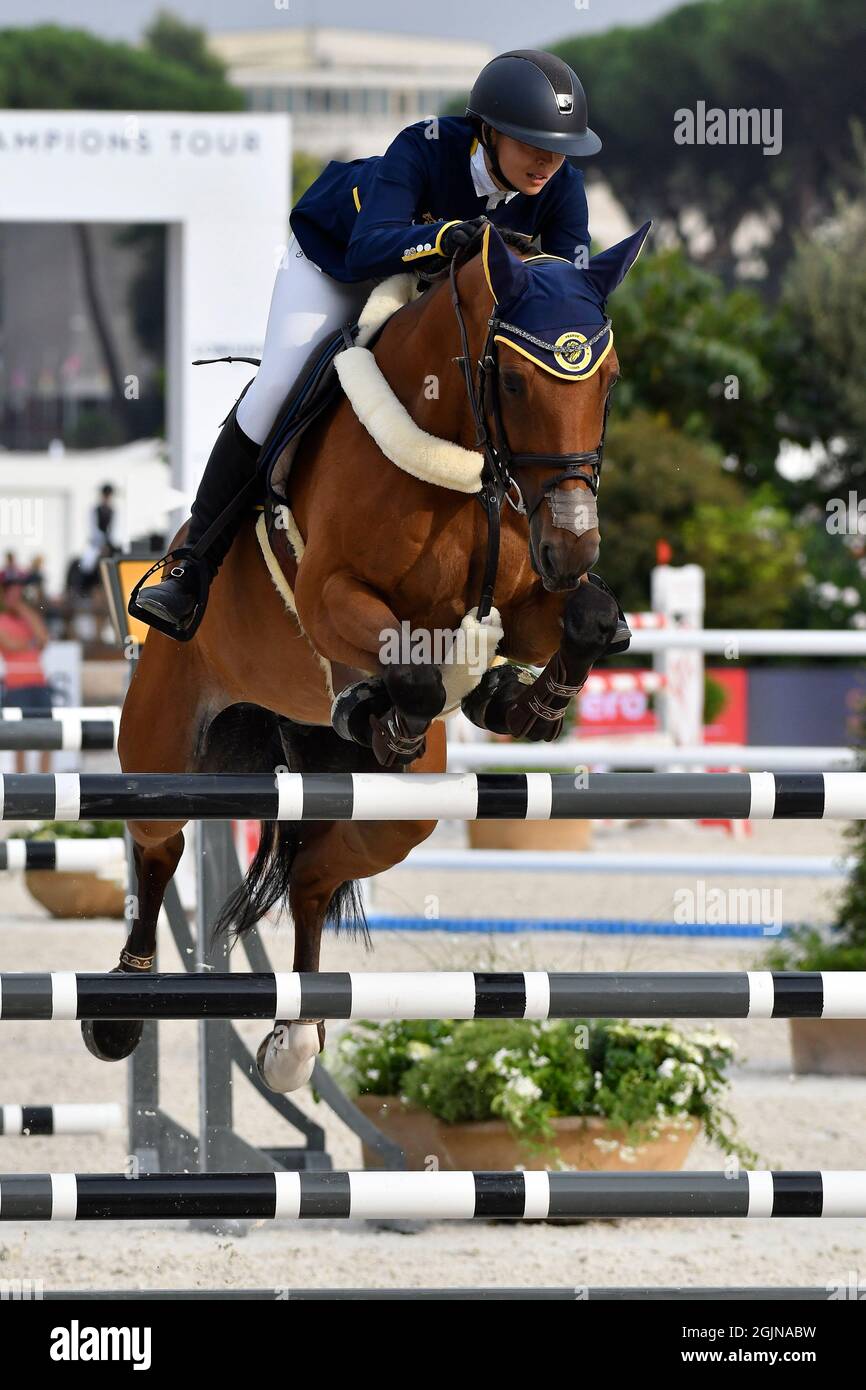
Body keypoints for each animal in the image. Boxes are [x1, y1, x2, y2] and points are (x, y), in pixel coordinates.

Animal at [89, 216, 650, 1089]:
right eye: (513, 384)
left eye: (612, 381)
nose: (571, 545)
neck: (458, 460)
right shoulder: (331, 597)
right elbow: (410, 668)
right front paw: (389, 710)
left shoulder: (528, 606)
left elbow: (587, 619)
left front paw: (528, 703)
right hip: (162, 743)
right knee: (158, 846)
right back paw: (122, 1009)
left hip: (396, 816)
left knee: (314, 873)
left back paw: (295, 1039)